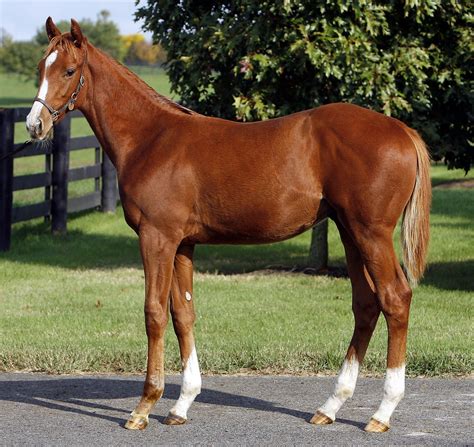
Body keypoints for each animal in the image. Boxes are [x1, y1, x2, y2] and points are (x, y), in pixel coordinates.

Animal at [27, 18, 432, 434]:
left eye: (69, 71)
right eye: (41, 68)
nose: (34, 125)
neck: (151, 138)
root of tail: (402, 131)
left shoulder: (157, 238)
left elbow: (154, 313)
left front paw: (144, 406)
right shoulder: (183, 245)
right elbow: (183, 314)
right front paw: (181, 404)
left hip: (372, 234)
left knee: (395, 298)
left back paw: (382, 412)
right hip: (350, 232)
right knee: (366, 304)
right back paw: (330, 406)